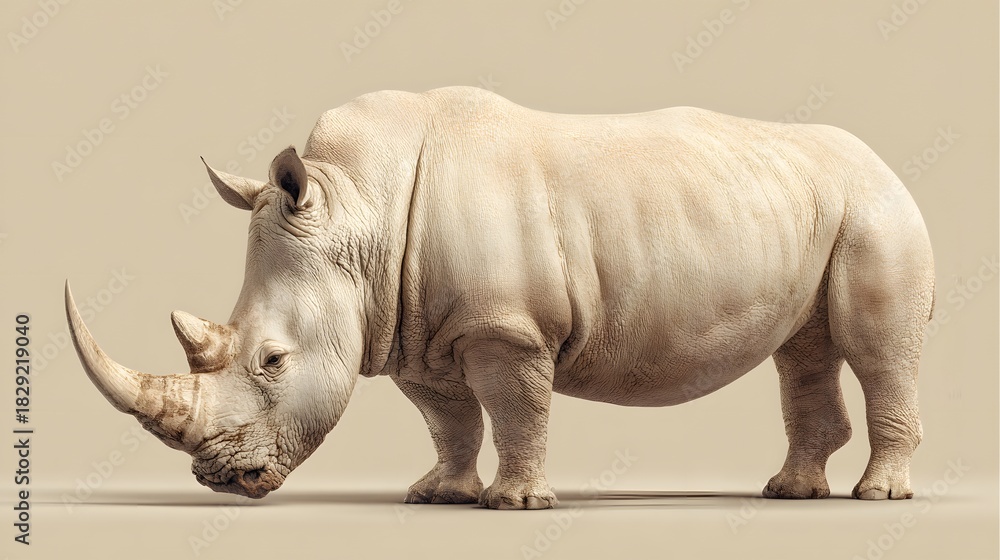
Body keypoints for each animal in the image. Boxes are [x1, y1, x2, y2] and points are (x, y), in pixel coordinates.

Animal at [66, 86, 934, 509]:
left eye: (273, 360)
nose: (218, 479)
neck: (358, 211)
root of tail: (885, 162)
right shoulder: (411, 328)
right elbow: (448, 418)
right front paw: (438, 496)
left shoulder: (505, 327)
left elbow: (517, 408)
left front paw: (515, 506)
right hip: (810, 203)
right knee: (804, 351)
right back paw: (791, 493)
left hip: (877, 207)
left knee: (877, 350)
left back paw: (879, 495)